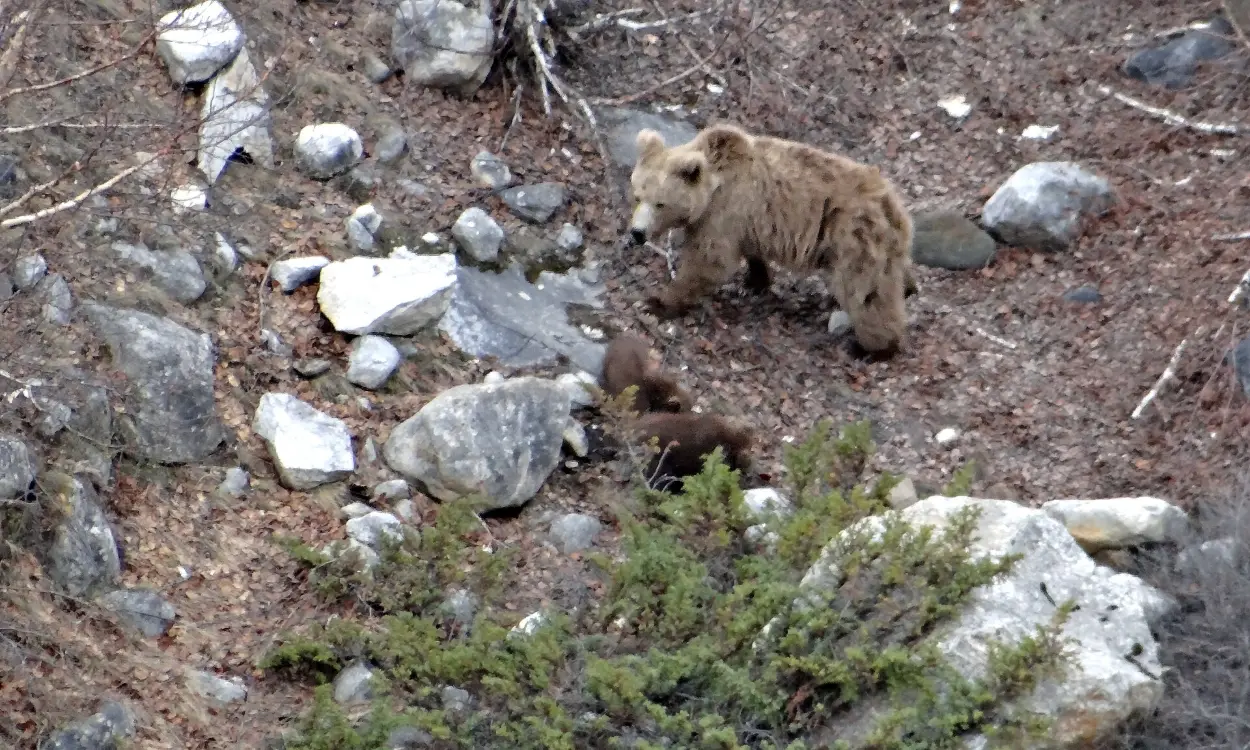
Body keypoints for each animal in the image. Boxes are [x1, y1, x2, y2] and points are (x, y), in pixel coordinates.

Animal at [627, 122, 916, 353]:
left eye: (660, 203)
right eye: (638, 195)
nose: (637, 233)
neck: (712, 188)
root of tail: (892, 204)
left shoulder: (724, 212)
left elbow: (708, 262)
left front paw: (656, 302)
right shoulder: (743, 221)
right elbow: (750, 253)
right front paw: (754, 281)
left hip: (854, 236)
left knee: (865, 292)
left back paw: (874, 347)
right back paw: (909, 287)